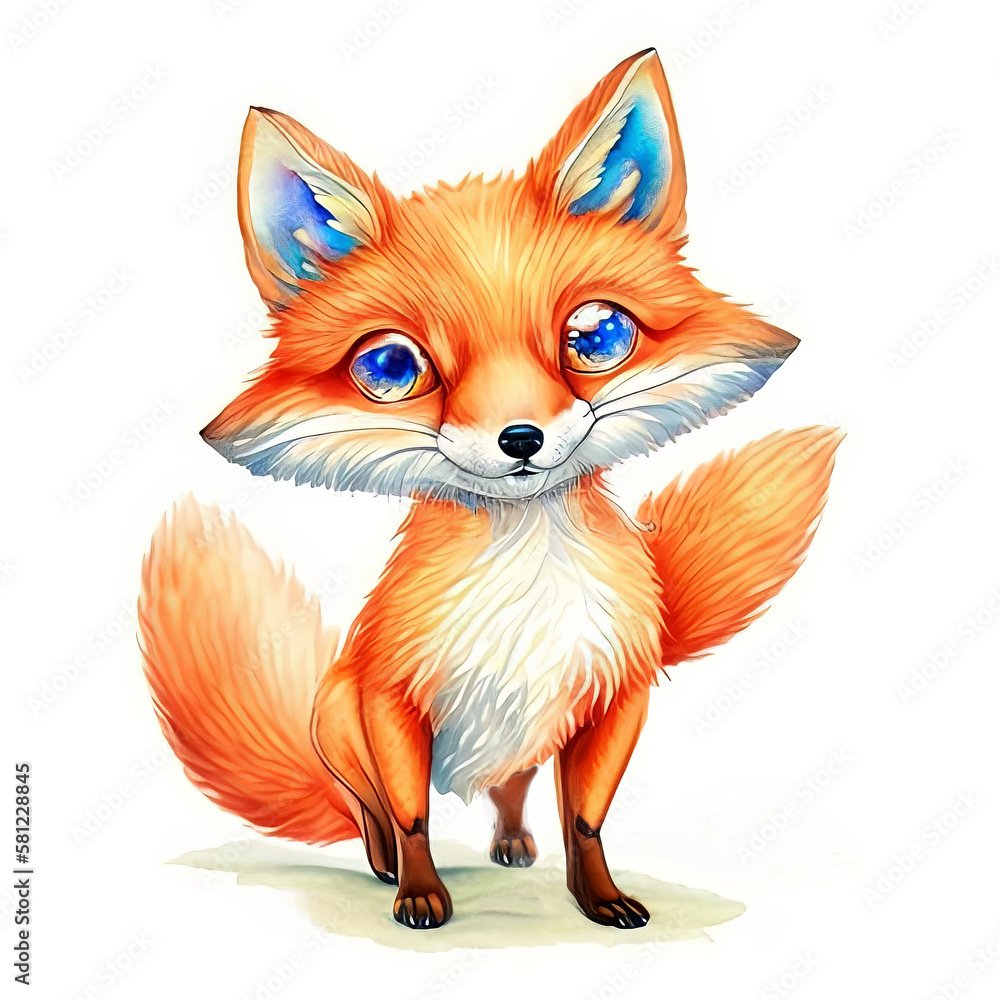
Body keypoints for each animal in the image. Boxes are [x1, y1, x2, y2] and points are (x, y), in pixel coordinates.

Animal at [139, 48, 841, 930]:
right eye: (391, 366)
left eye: (596, 336)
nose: (520, 440)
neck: (527, 576)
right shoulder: (390, 698)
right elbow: (410, 815)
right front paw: (419, 893)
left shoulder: (614, 699)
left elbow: (586, 820)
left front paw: (598, 897)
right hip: (337, 720)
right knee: (366, 804)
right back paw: (380, 861)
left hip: (526, 741)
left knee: (509, 794)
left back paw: (511, 843)